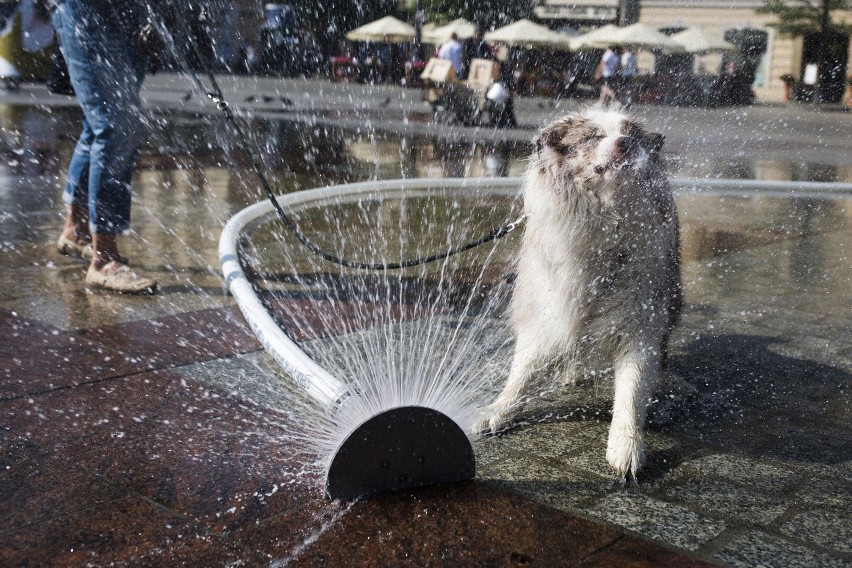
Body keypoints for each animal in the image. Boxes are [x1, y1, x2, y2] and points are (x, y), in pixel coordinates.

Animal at [482, 110, 684, 480]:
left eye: (632, 135)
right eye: (592, 137)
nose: (625, 143)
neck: (603, 221)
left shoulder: (640, 315)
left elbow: (632, 388)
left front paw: (626, 447)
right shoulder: (546, 301)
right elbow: (524, 368)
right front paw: (498, 409)